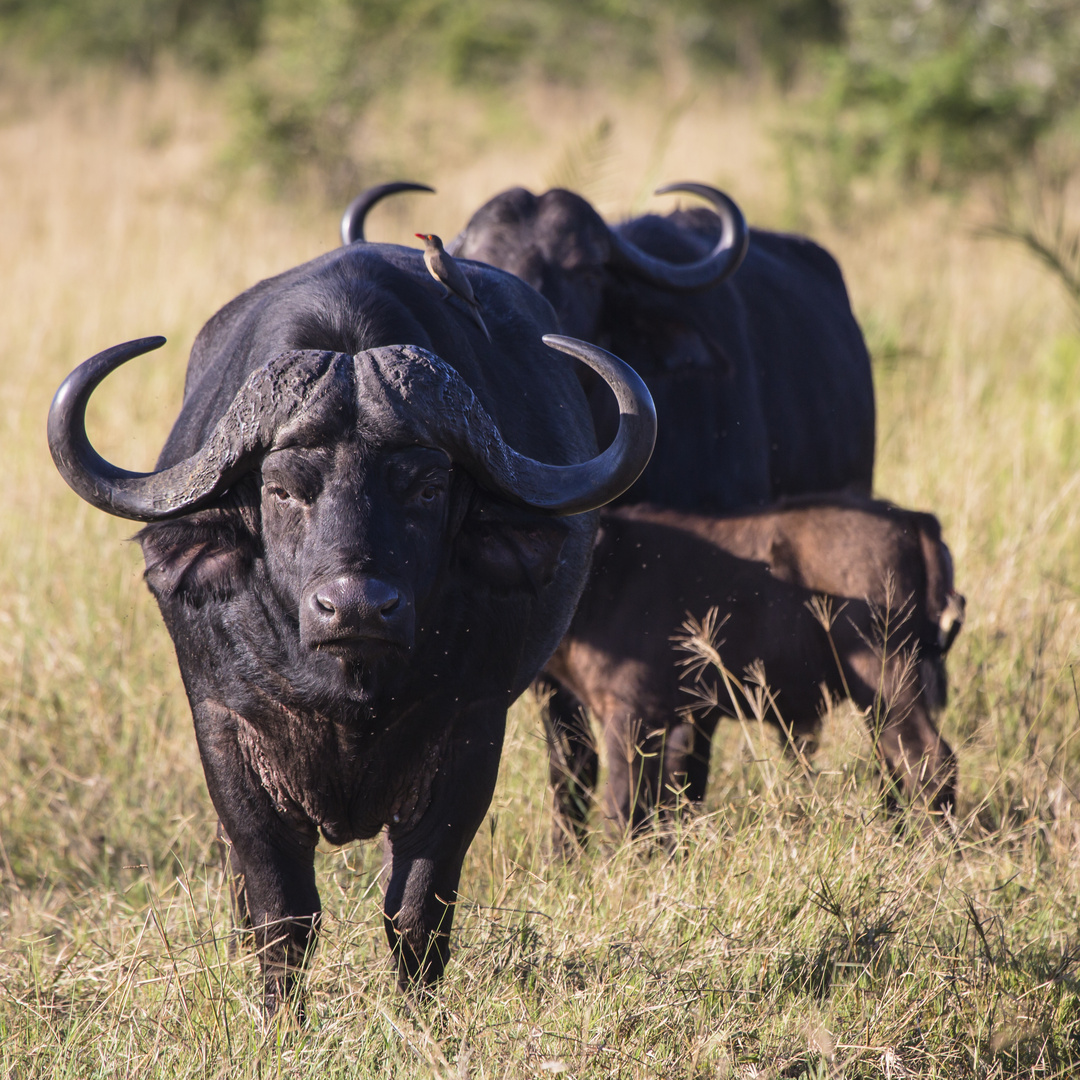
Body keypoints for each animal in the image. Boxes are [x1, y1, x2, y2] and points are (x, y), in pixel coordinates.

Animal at [48, 238, 656, 1010]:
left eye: (426, 488)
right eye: (281, 489)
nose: (357, 606)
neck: (346, 693)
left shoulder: (471, 735)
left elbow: (417, 908)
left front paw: (418, 1015)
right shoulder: (225, 731)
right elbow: (281, 911)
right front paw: (281, 1018)